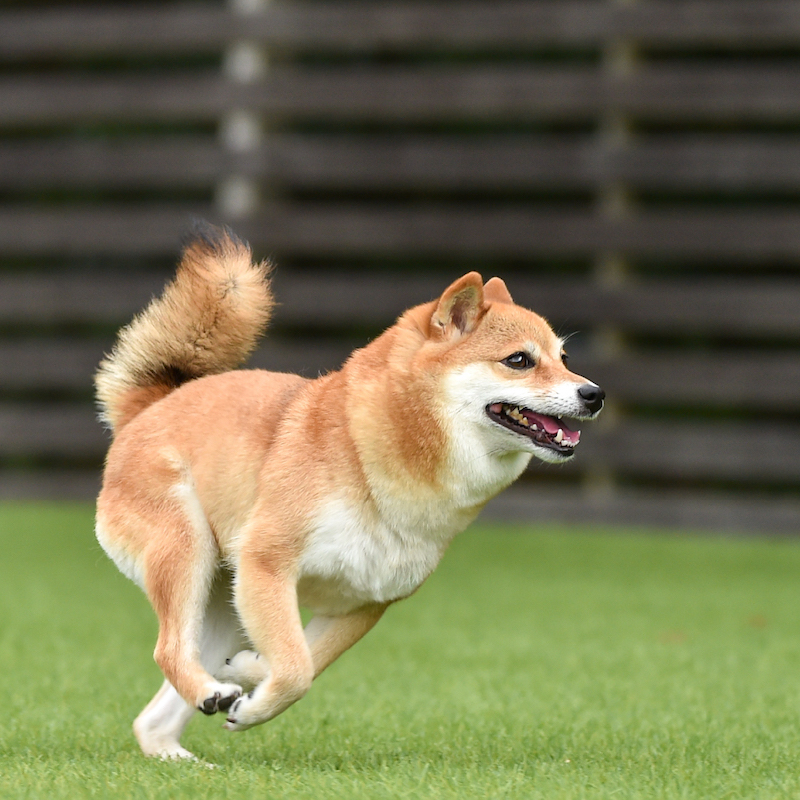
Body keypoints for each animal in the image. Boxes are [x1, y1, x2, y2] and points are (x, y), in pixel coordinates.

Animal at [94, 222, 604, 760]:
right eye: (519, 360)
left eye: (564, 358)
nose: (594, 394)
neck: (368, 457)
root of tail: (150, 408)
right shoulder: (268, 564)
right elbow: (296, 669)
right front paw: (253, 693)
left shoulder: (362, 601)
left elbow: (303, 660)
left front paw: (250, 686)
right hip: (186, 551)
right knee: (169, 649)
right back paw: (207, 695)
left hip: (226, 602)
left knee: (157, 711)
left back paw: (184, 743)